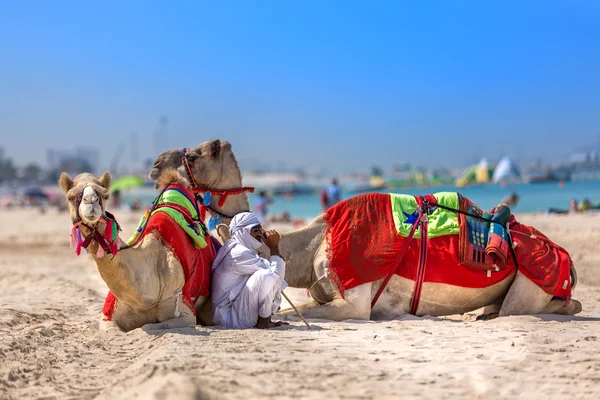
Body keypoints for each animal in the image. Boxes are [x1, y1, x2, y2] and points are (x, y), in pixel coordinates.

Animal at [59, 170, 214, 332]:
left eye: (105, 195)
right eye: (70, 197)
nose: (91, 202)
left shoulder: (185, 311)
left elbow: (147, 326)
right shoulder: (109, 314)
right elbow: (112, 329)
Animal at [149, 141, 580, 322]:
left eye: (195, 154)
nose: (154, 165)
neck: (312, 243)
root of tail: (568, 261)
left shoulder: (354, 301)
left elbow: (313, 311)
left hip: (532, 283)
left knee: (548, 306)